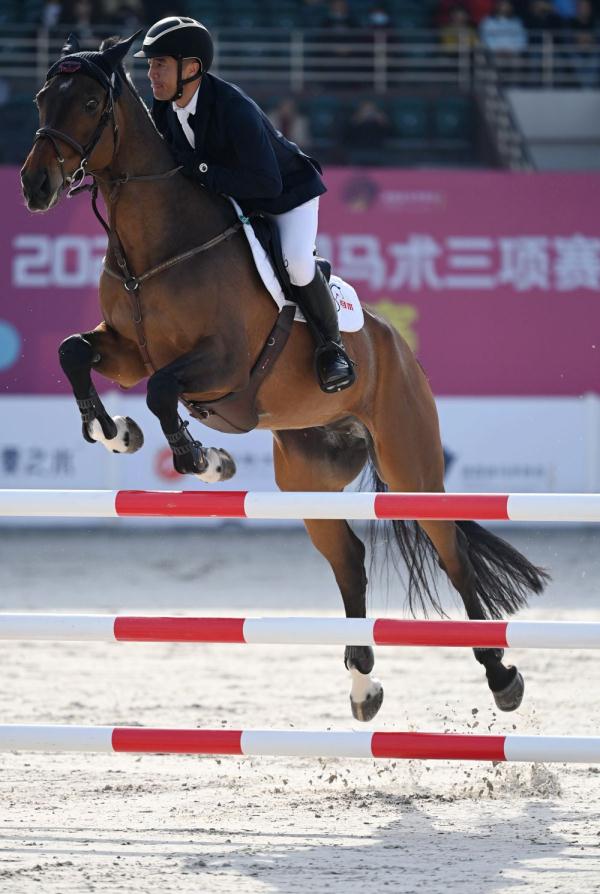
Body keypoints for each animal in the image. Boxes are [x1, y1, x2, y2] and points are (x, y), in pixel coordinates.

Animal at [20, 33, 548, 722]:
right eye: (40, 97)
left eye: (87, 102)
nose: (34, 185)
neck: (157, 245)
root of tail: (398, 349)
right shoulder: (129, 351)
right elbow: (72, 353)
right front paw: (116, 433)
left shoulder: (220, 362)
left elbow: (163, 390)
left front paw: (202, 459)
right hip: (307, 475)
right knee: (349, 559)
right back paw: (363, 685)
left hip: (410, 461)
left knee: (450, 551)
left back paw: (501, 676)